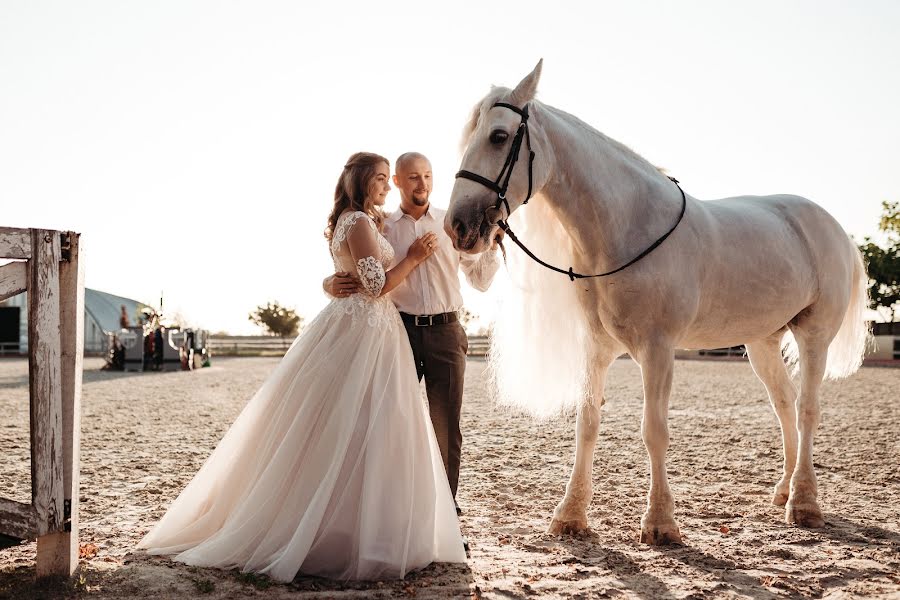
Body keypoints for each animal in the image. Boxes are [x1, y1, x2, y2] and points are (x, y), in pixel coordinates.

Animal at [446, 59, 868, 544]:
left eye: (498, 136)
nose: (457, 226)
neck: (627, 227)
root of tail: (833, 226)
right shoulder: (597, 349)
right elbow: (587, 423)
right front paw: (570, 516)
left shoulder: (657, 349)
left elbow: (654, 431)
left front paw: (661, 523)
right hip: (761, 343)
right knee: (783, 406)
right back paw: (783, 492)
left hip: (814, 335)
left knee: (806, 410)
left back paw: (804, 504)